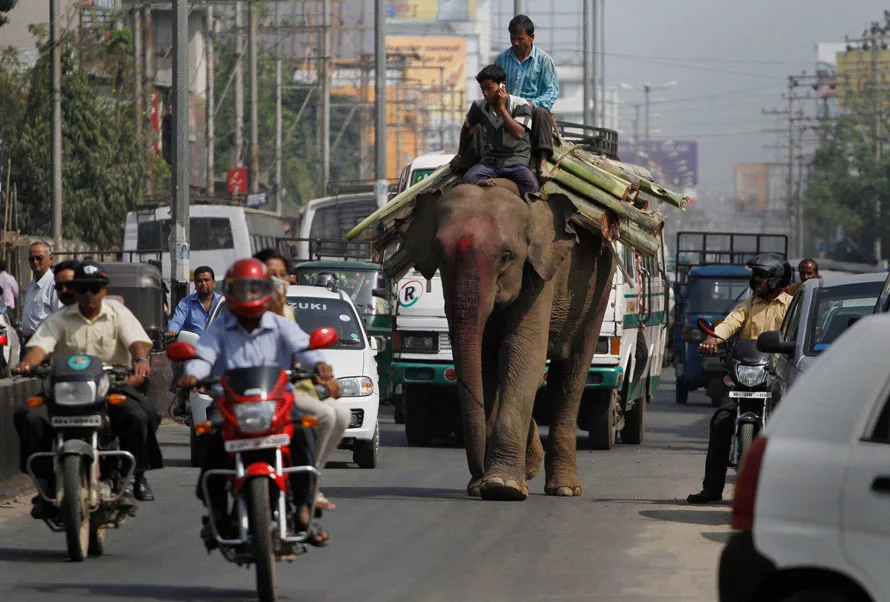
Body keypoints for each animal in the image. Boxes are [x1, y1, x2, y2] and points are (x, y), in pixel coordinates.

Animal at [398, 180, 612, 500]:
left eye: (505, 257)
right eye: (439, 254)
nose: (477, 473)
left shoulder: (540, 275)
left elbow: (522, 353)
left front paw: (503, 486)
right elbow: (486, 361)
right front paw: (487, 484)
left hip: (597, 293)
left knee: (572, 371)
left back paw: (564, 488)